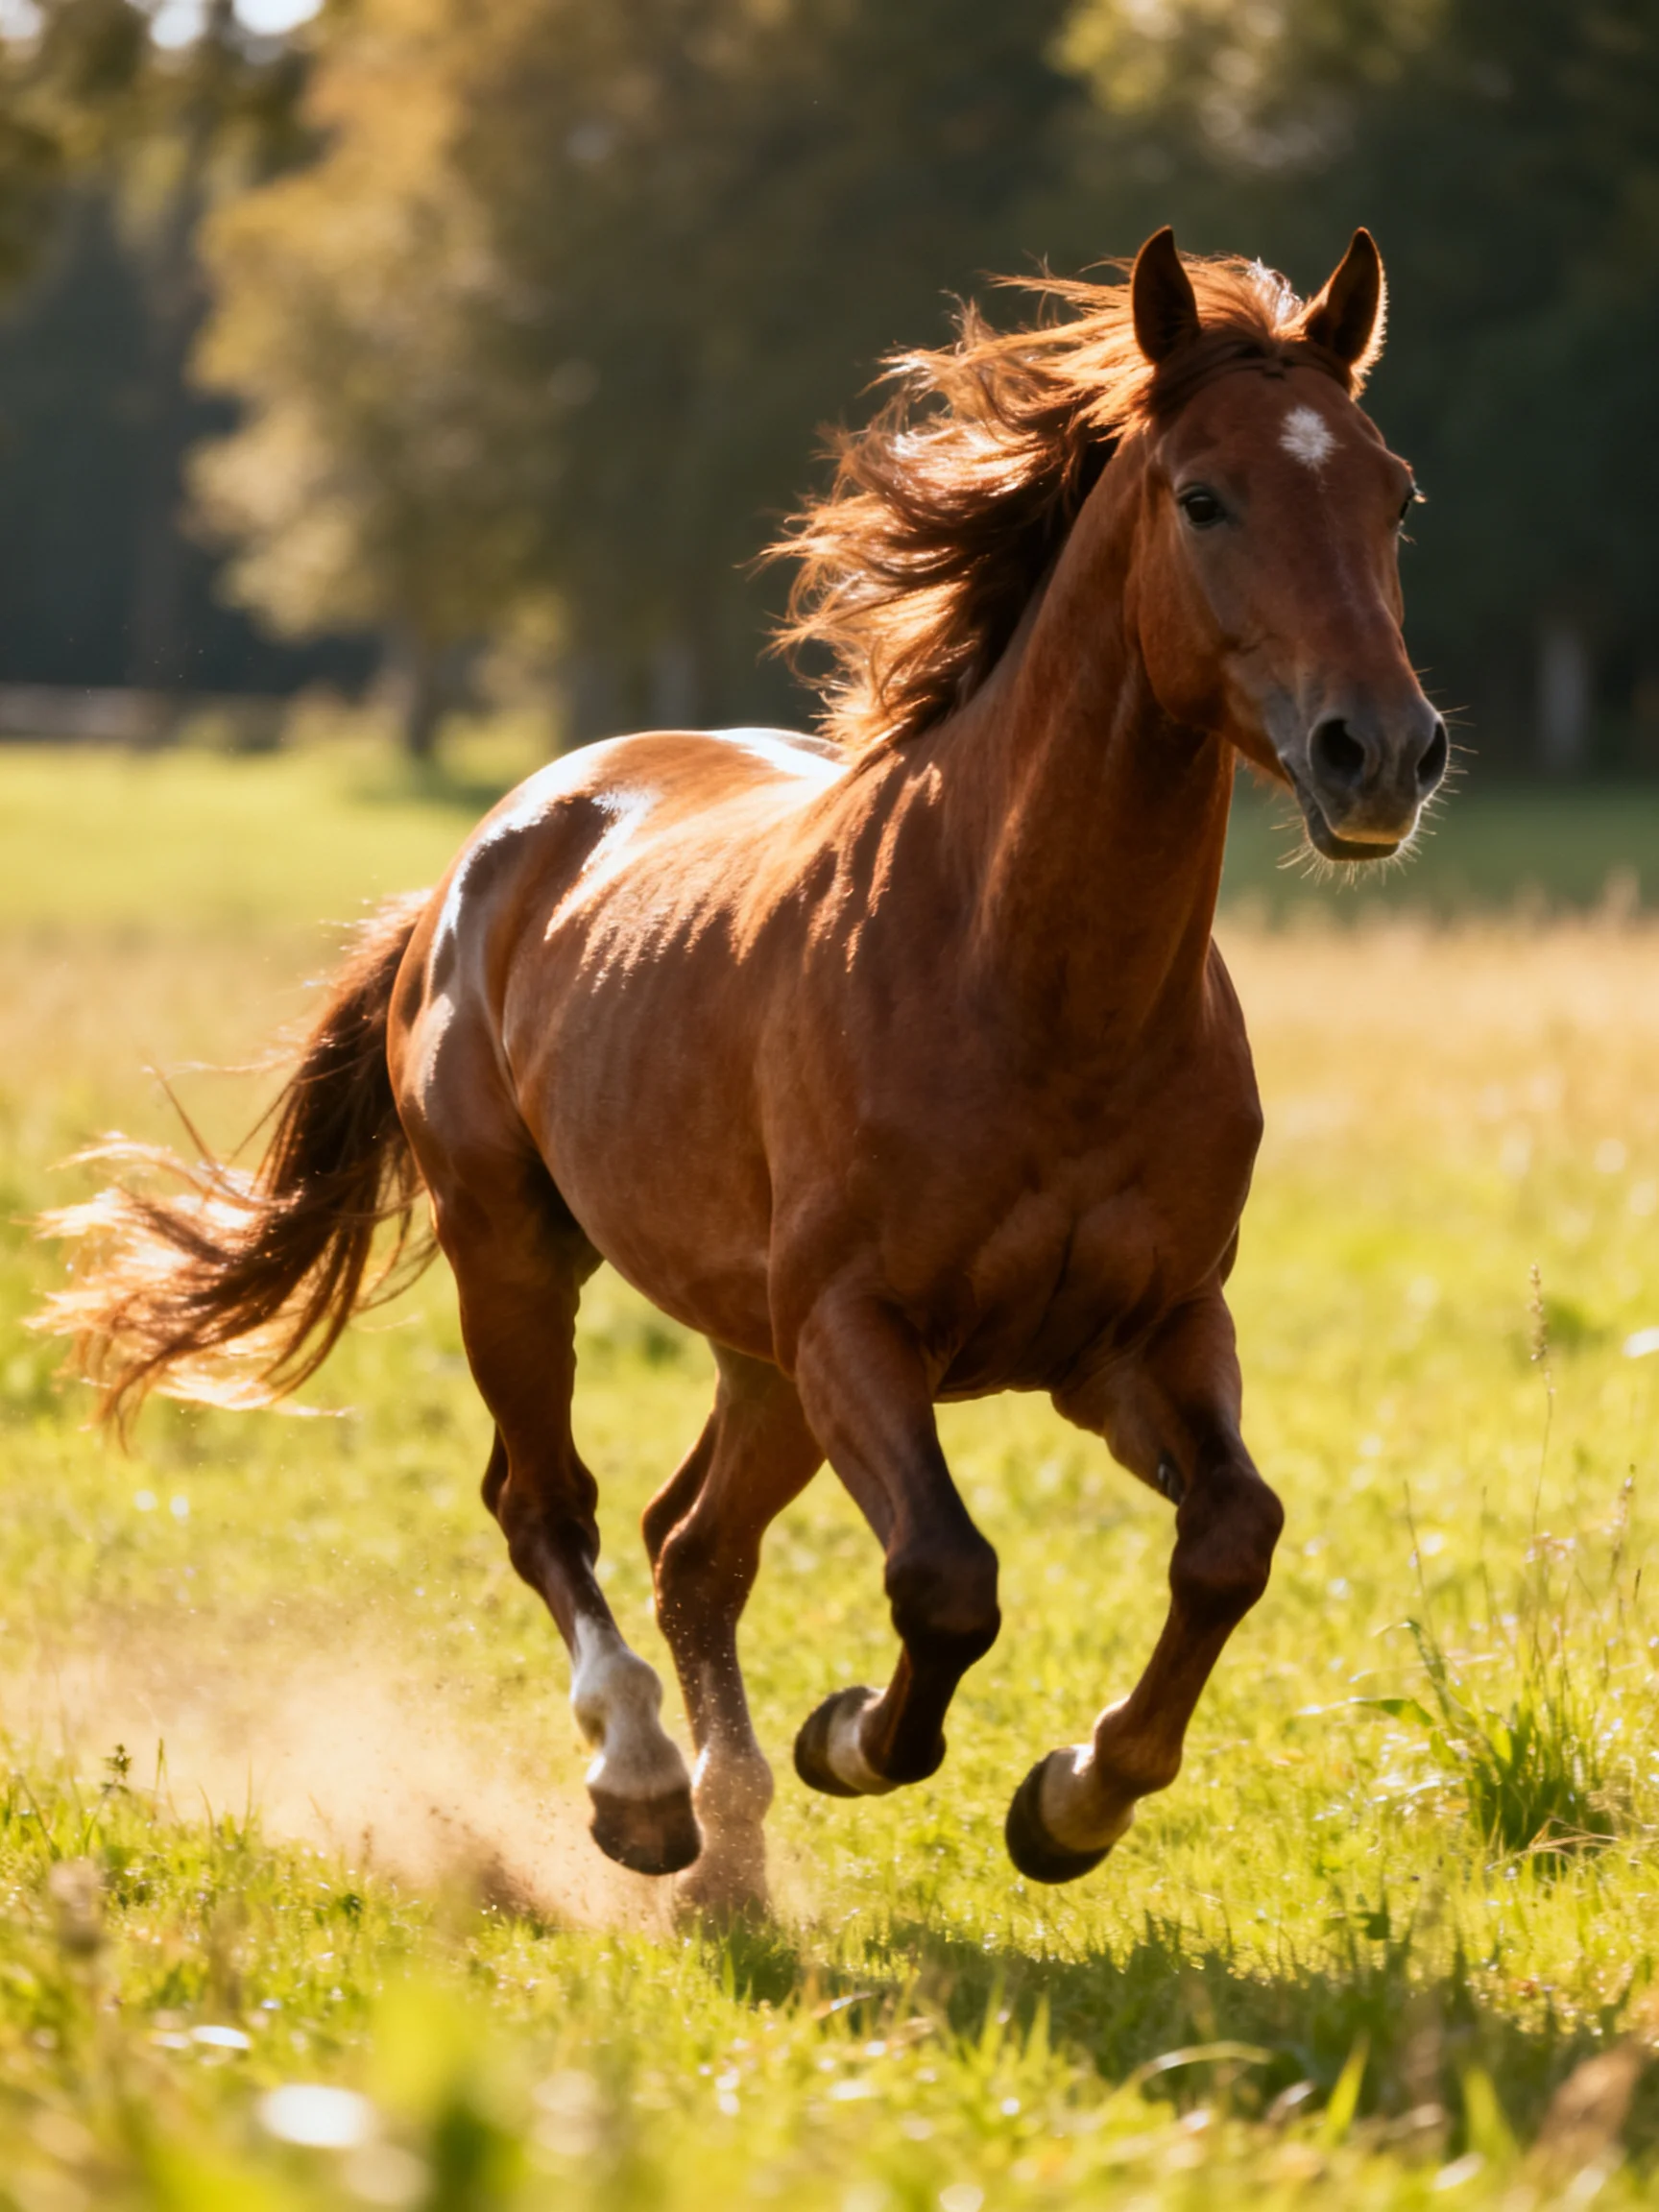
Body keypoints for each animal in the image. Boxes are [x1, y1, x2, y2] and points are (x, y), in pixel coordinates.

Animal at [45, 228, 1446, 1914]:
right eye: (1205, 497)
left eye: (1393, 494)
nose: (1381, 752)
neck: (1030, 985)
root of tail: (485, 857)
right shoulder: (858, 1326)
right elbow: (948, 1578)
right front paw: (855, 1737)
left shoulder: (1144, 1331)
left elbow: (1234, 1535)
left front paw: (1074, 1799)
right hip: (522, 1259)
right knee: (551, 1508)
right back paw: (647, 1793)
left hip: (753, 1355)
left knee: (688, 1544)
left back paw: (726, 1856)